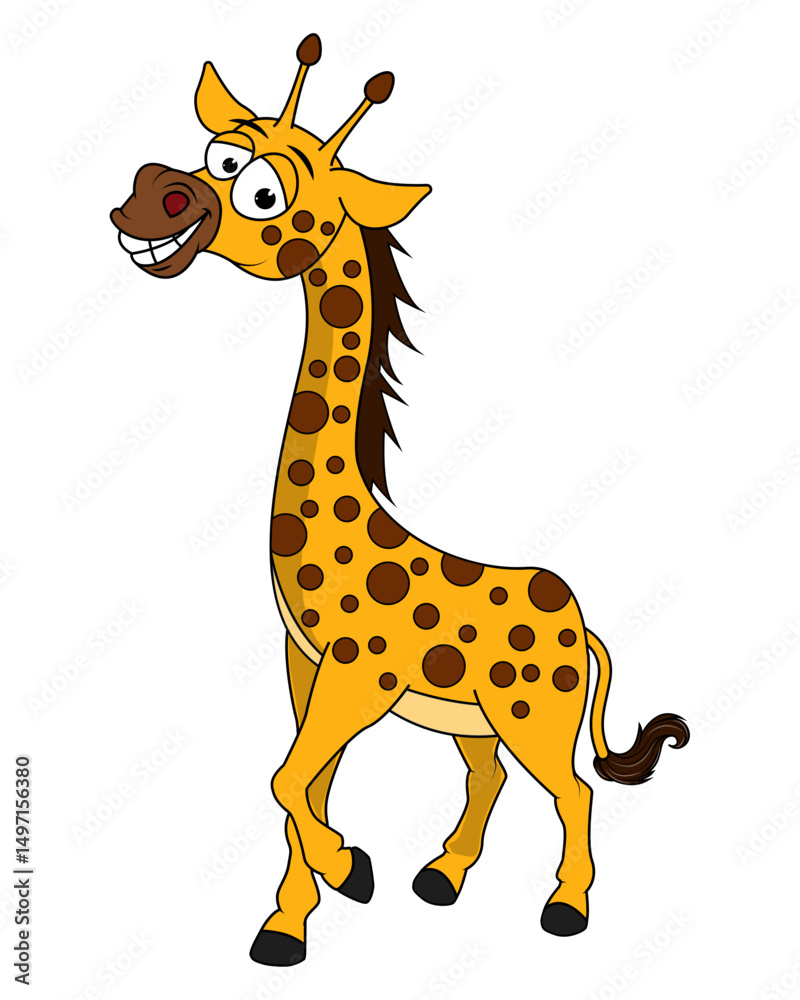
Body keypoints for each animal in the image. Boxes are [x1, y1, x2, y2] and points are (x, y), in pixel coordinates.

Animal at [110, 34, 690, 966]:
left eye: (265, 190)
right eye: (217, 154)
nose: (149, 195)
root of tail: (584, 626)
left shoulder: (360, 676)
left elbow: (287, 778)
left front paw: (349, 871)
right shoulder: (305, 666)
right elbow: (304, 780)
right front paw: (291, 922)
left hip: (536, 713)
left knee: (572, 790)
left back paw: (565, 909)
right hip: (477, 719)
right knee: (489, 778)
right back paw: (441, 877)